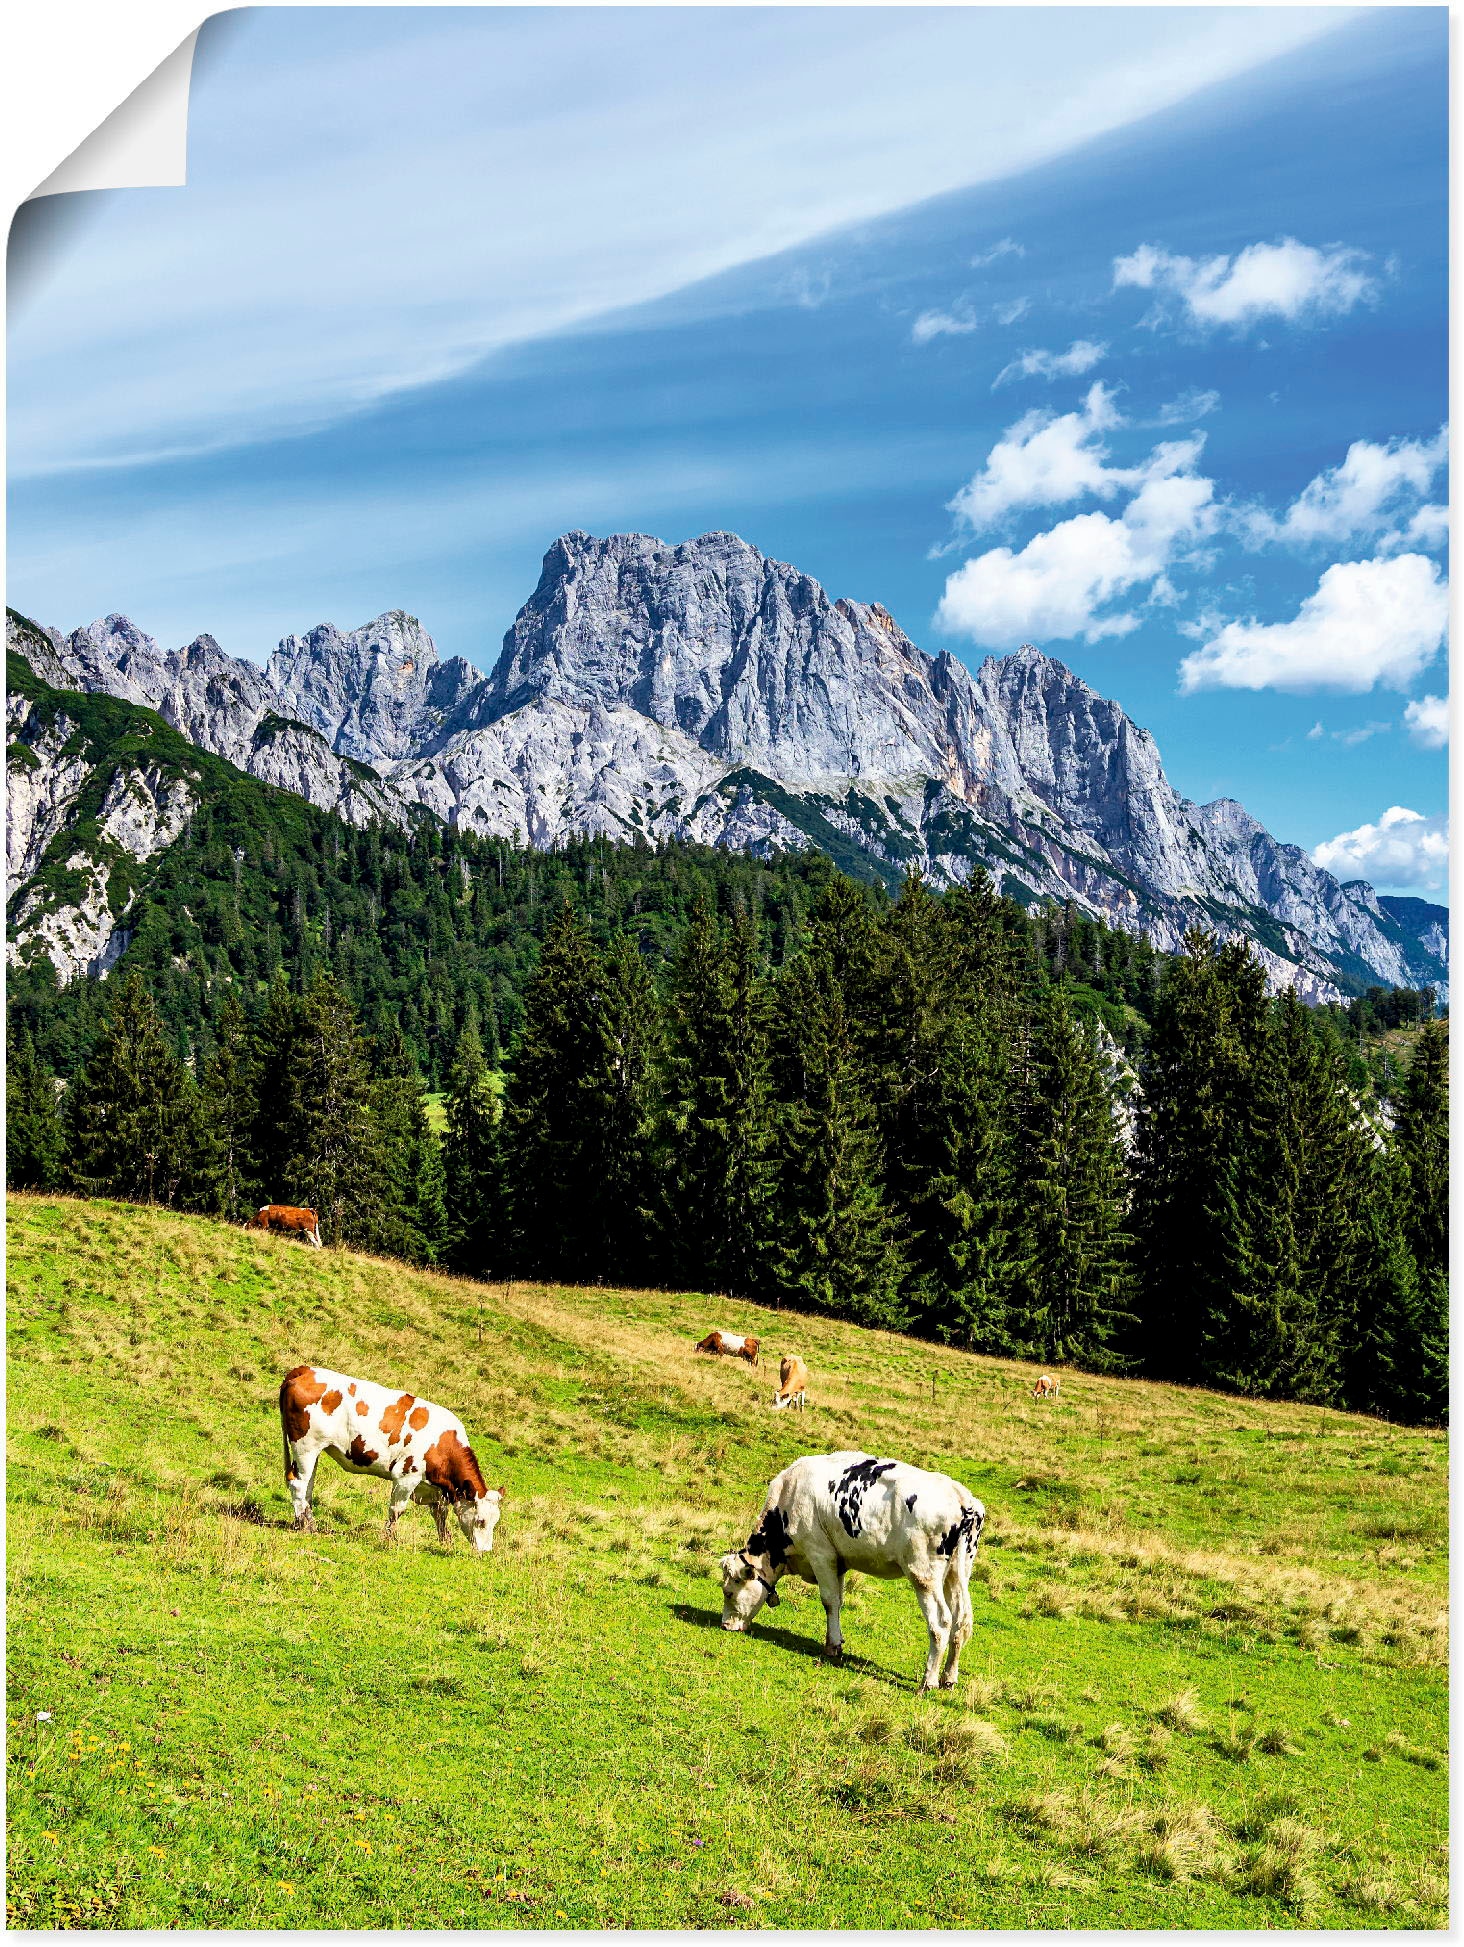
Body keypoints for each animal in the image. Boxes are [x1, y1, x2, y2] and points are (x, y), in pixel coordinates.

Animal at [278, 1370, 502, 1549]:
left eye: (495, 1522)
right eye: (481, 1521)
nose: (485, 1551)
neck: (444, 1444)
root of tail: (305, 1370)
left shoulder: (435, 1489)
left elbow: (440, 1515)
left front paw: (446, 1541)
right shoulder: (407, 1476)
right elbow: (397, 1510)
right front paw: (389, 1539)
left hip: (312, 1450)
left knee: (307, 1486)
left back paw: (307, 1522)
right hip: (305, 1445)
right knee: (298, 1483)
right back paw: (304, 1526)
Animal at [716, 1448, 985, 1689]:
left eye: (728, 1592)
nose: (725, 1625)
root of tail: (962, 1498)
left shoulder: (820, 1554)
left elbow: (829, 1601)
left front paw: (833, 1646)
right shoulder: (839, 1561)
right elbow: (839, 1600)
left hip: (923, 1574)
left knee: (941, 1623)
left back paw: (928, 1681)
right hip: (957, 1572)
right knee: (962, 1621)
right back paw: (949, 1678)